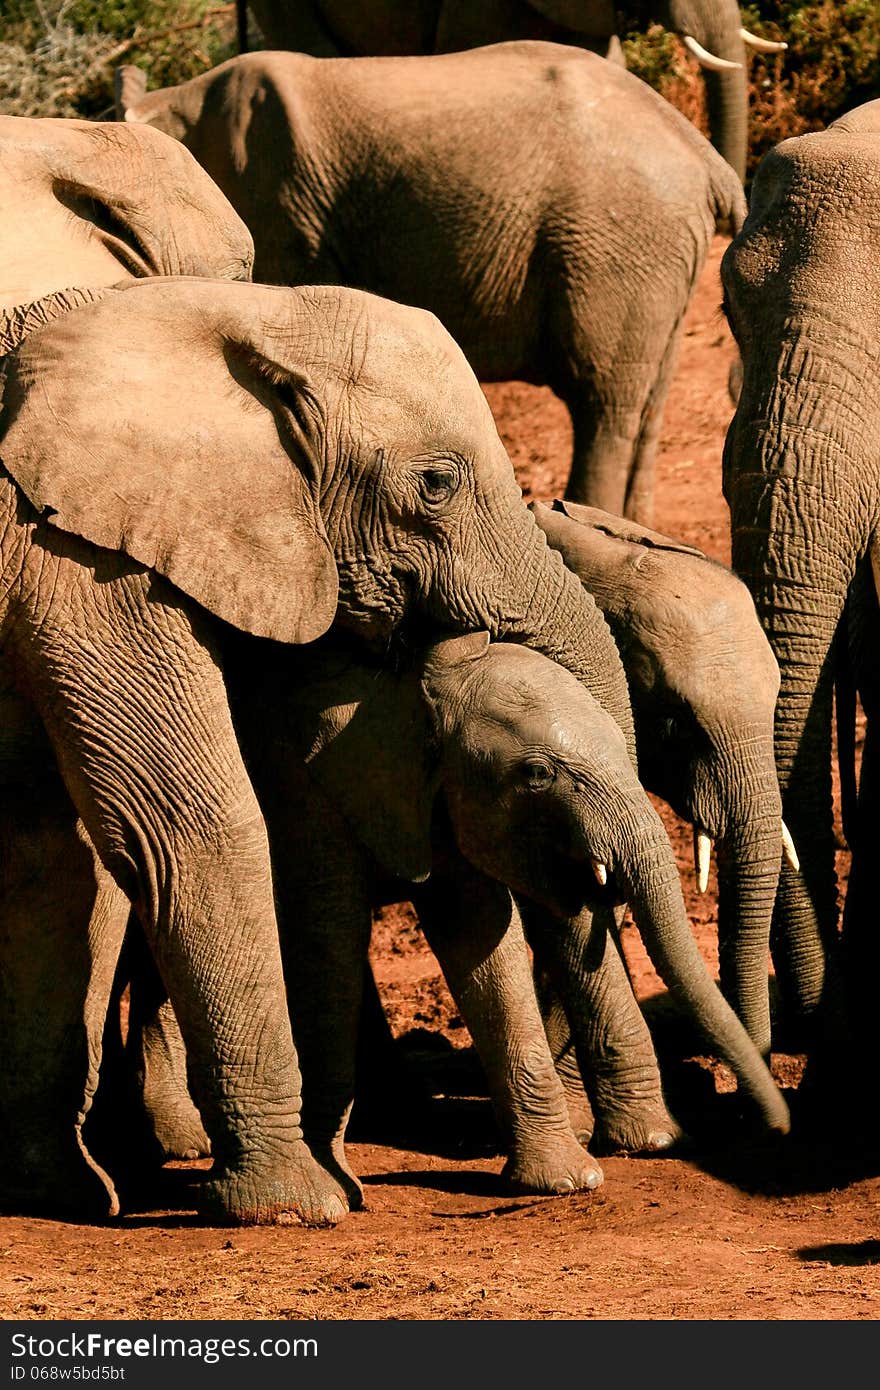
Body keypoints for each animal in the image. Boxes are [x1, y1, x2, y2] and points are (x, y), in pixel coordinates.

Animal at [0, 273, 639, 1228]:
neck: (233, 313)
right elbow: (192, 827)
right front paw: (297, 1206)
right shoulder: (80, 560)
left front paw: (57, 1191)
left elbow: (52, 859)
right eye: (436, 484)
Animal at [118, 46, 750, 522]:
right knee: (647, 398)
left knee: (603, 399)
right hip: (657, 260)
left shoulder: (277, 204)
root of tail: (706, 159)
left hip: (616, 244)